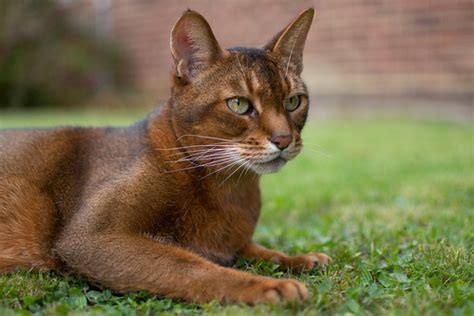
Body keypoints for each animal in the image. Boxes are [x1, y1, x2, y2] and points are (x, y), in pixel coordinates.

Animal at [0, 8, 332, 304]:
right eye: (238, 104)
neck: (229, 188)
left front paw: (301, 258)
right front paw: (267, 287)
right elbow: (191, 267)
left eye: (293, 101)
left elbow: (261, 251)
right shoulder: (90, 237)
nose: (284, 139)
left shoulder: (234, 244)